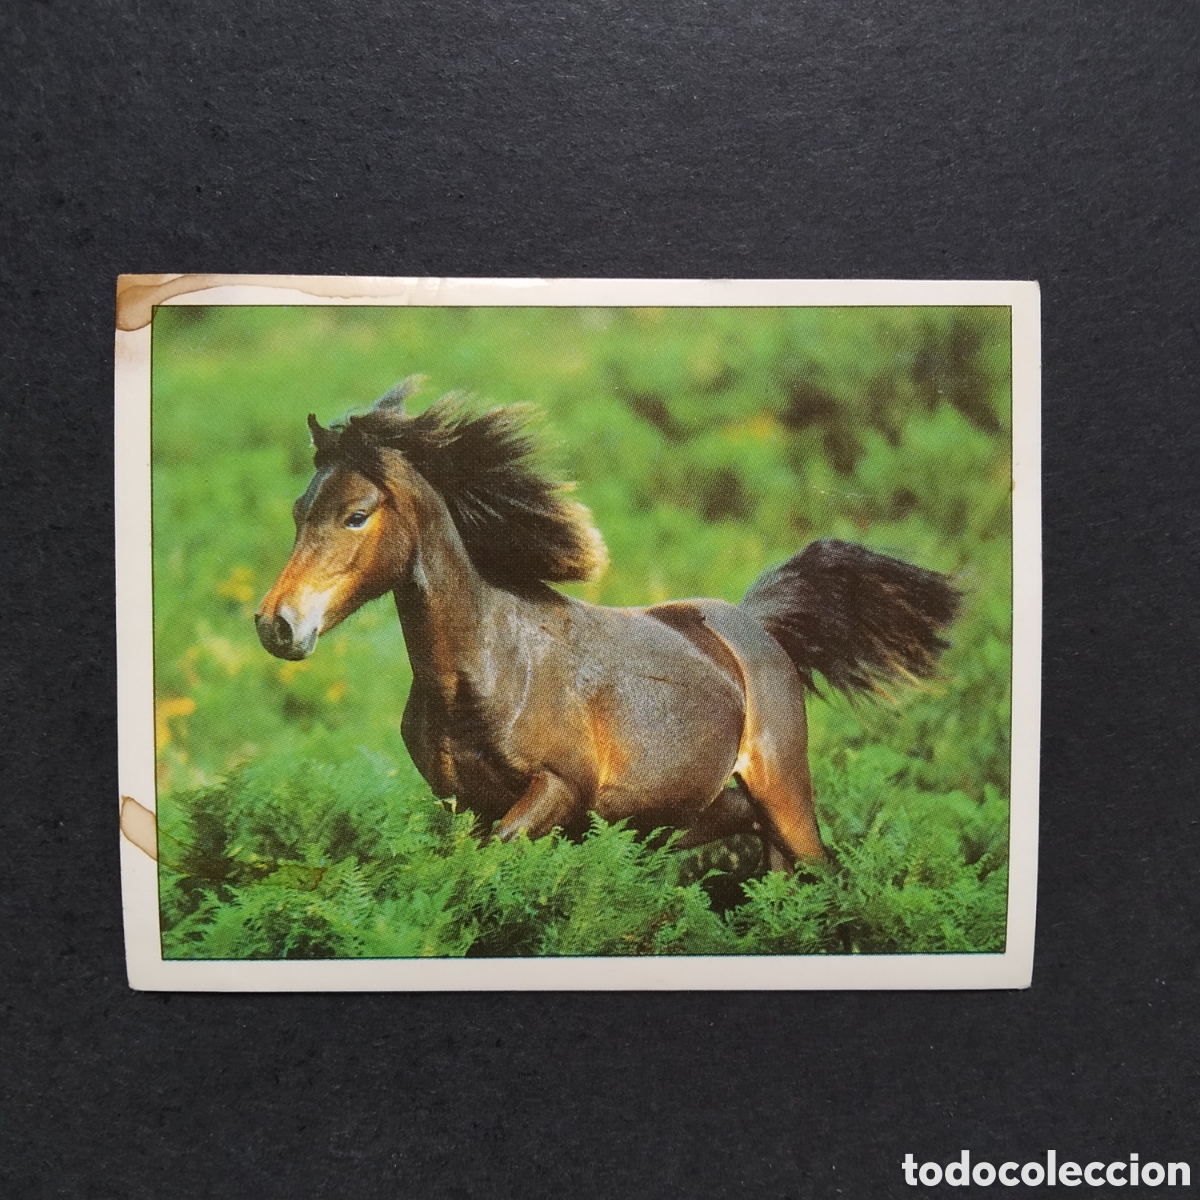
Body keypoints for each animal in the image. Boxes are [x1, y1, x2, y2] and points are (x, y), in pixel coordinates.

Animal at [255, 377, 959, 871]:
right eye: (297, 510)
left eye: (357, 514)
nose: (276, 625)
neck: (489, 670)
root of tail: (754, 624)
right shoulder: (463, 805)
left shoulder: (558, 791)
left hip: (784, 799)